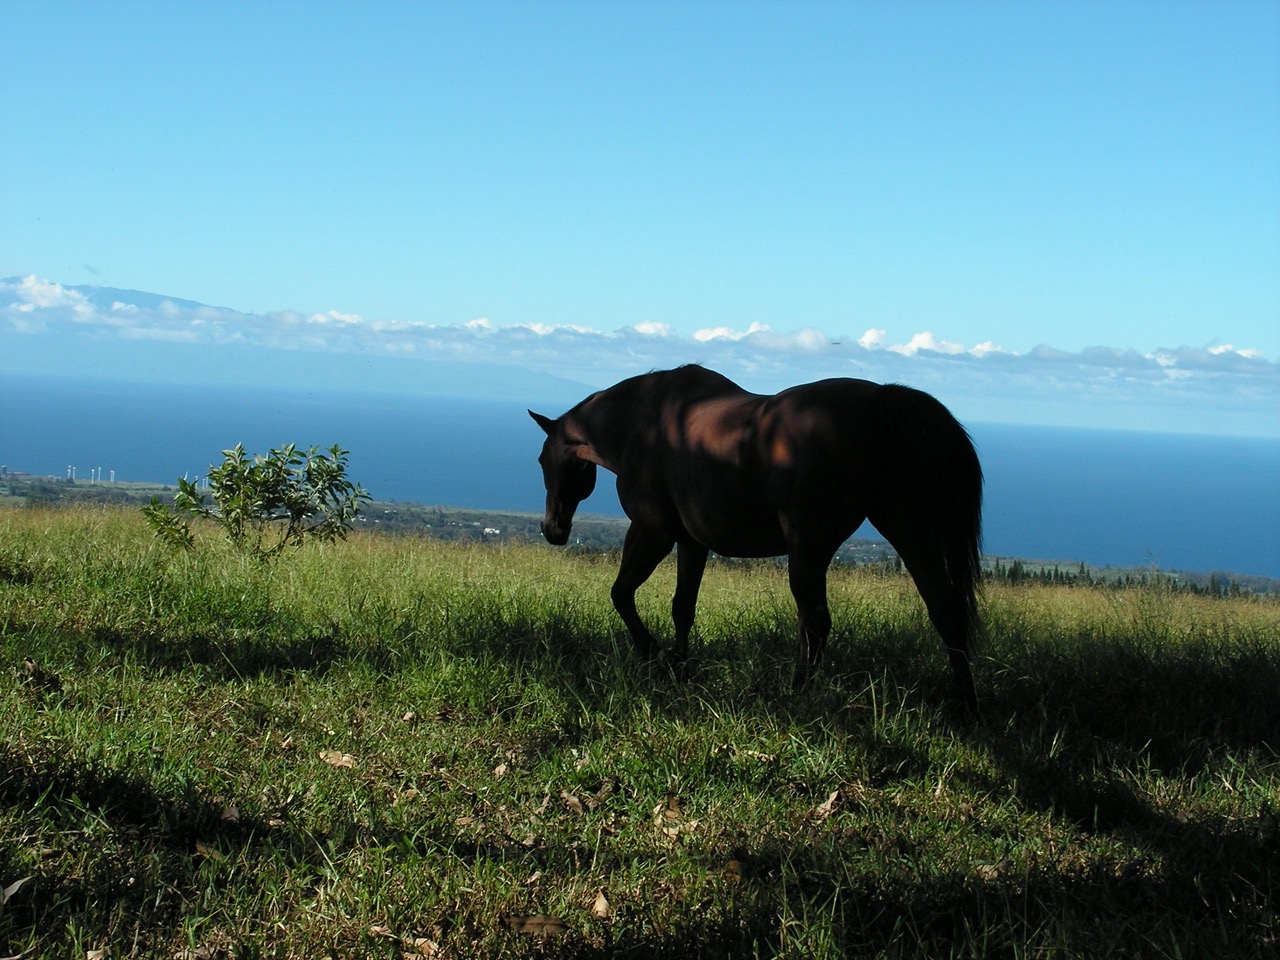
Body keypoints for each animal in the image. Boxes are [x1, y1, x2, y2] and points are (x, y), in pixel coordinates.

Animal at [524, 368, 983, 716]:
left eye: (543, 460)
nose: (552, 529)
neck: (646, 423)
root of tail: (882, 401)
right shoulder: (692, 542)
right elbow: (682, 607)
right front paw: (679, 664)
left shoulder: (652, 532)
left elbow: (621, 593)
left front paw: (652, 653)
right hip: (910, 533)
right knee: (944, 611)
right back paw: (966, 704)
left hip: (809, 547)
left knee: (815, 622)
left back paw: (798, 692)